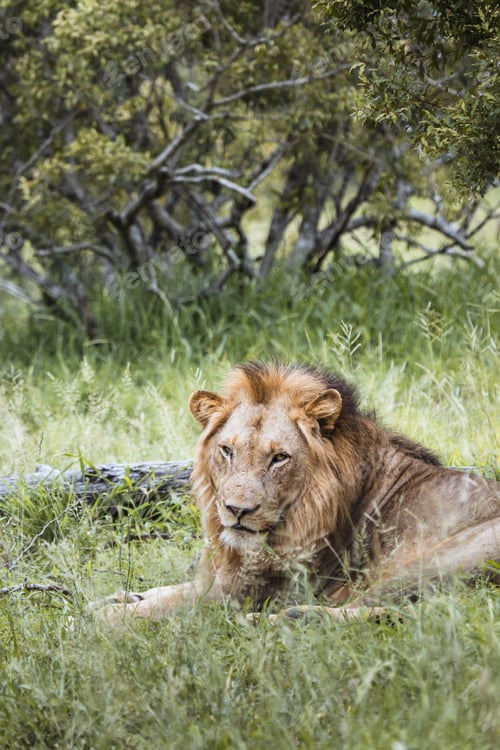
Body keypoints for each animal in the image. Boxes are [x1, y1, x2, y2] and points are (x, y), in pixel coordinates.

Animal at [101, 361, 500, 623]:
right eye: (227, 451)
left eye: (279, 458)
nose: (236, 510)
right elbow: (171, 590)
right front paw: (117, 597)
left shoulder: (246, 593)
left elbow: (168, 607)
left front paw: (107, 618)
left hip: (434, 559)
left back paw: (287, 619)